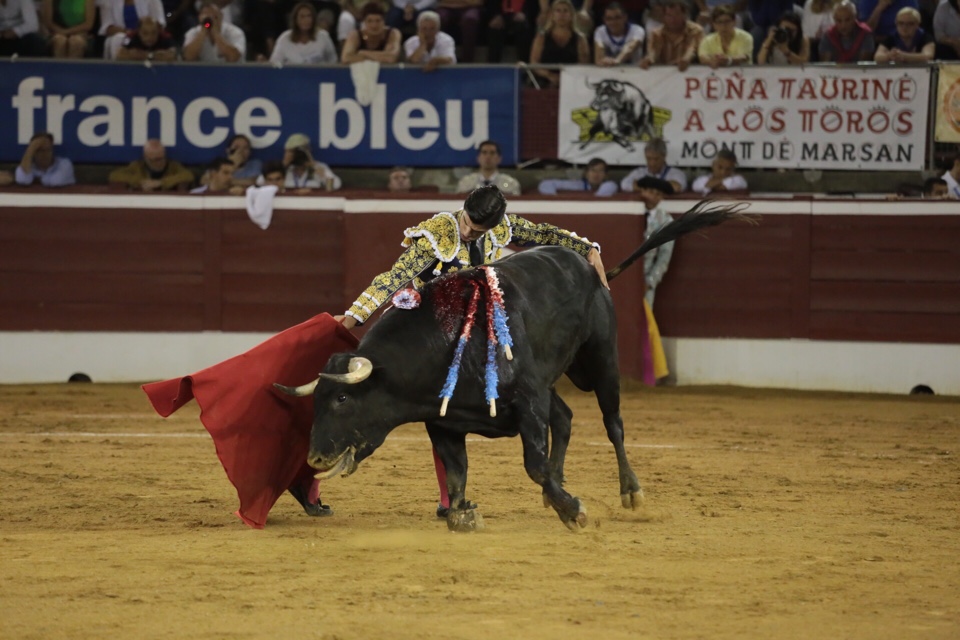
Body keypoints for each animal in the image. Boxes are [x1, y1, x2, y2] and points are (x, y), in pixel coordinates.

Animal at [276, 201, 752, 528]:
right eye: (315, 400)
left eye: (341, 398)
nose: (315, 458)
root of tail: (585, 266)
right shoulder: (445, 423)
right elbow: (457, 474)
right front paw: (463, 513)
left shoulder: (527, 401)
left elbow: (532, 463)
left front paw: (573, 510)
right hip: (552, 380)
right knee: (565, 418)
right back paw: (558, 488)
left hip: (601, 359)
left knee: (612, 422)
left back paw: (630, 491)